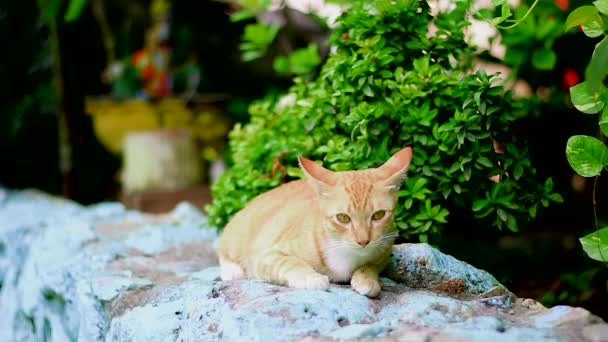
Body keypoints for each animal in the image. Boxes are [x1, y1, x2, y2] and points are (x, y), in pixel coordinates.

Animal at [218, 147, 414, 296]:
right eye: (343, 218)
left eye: (378, 215)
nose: (363, 241)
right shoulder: (266, 256)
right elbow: (290, 263)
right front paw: (311, 278)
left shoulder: (384, 252)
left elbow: (371, 266)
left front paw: (367, 279)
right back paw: (232, 271)